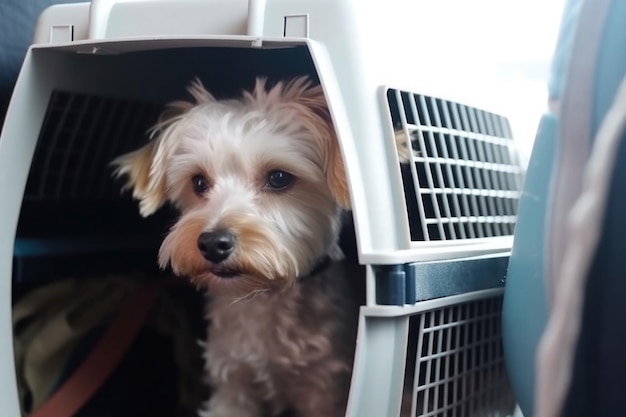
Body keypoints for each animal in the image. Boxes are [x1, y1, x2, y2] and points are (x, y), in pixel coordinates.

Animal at [112, 77, 360, 416]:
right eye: (198, 182)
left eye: (279, 178)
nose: (213, 244)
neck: (264, 297)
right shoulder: (232, 379)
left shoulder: (324, 387)